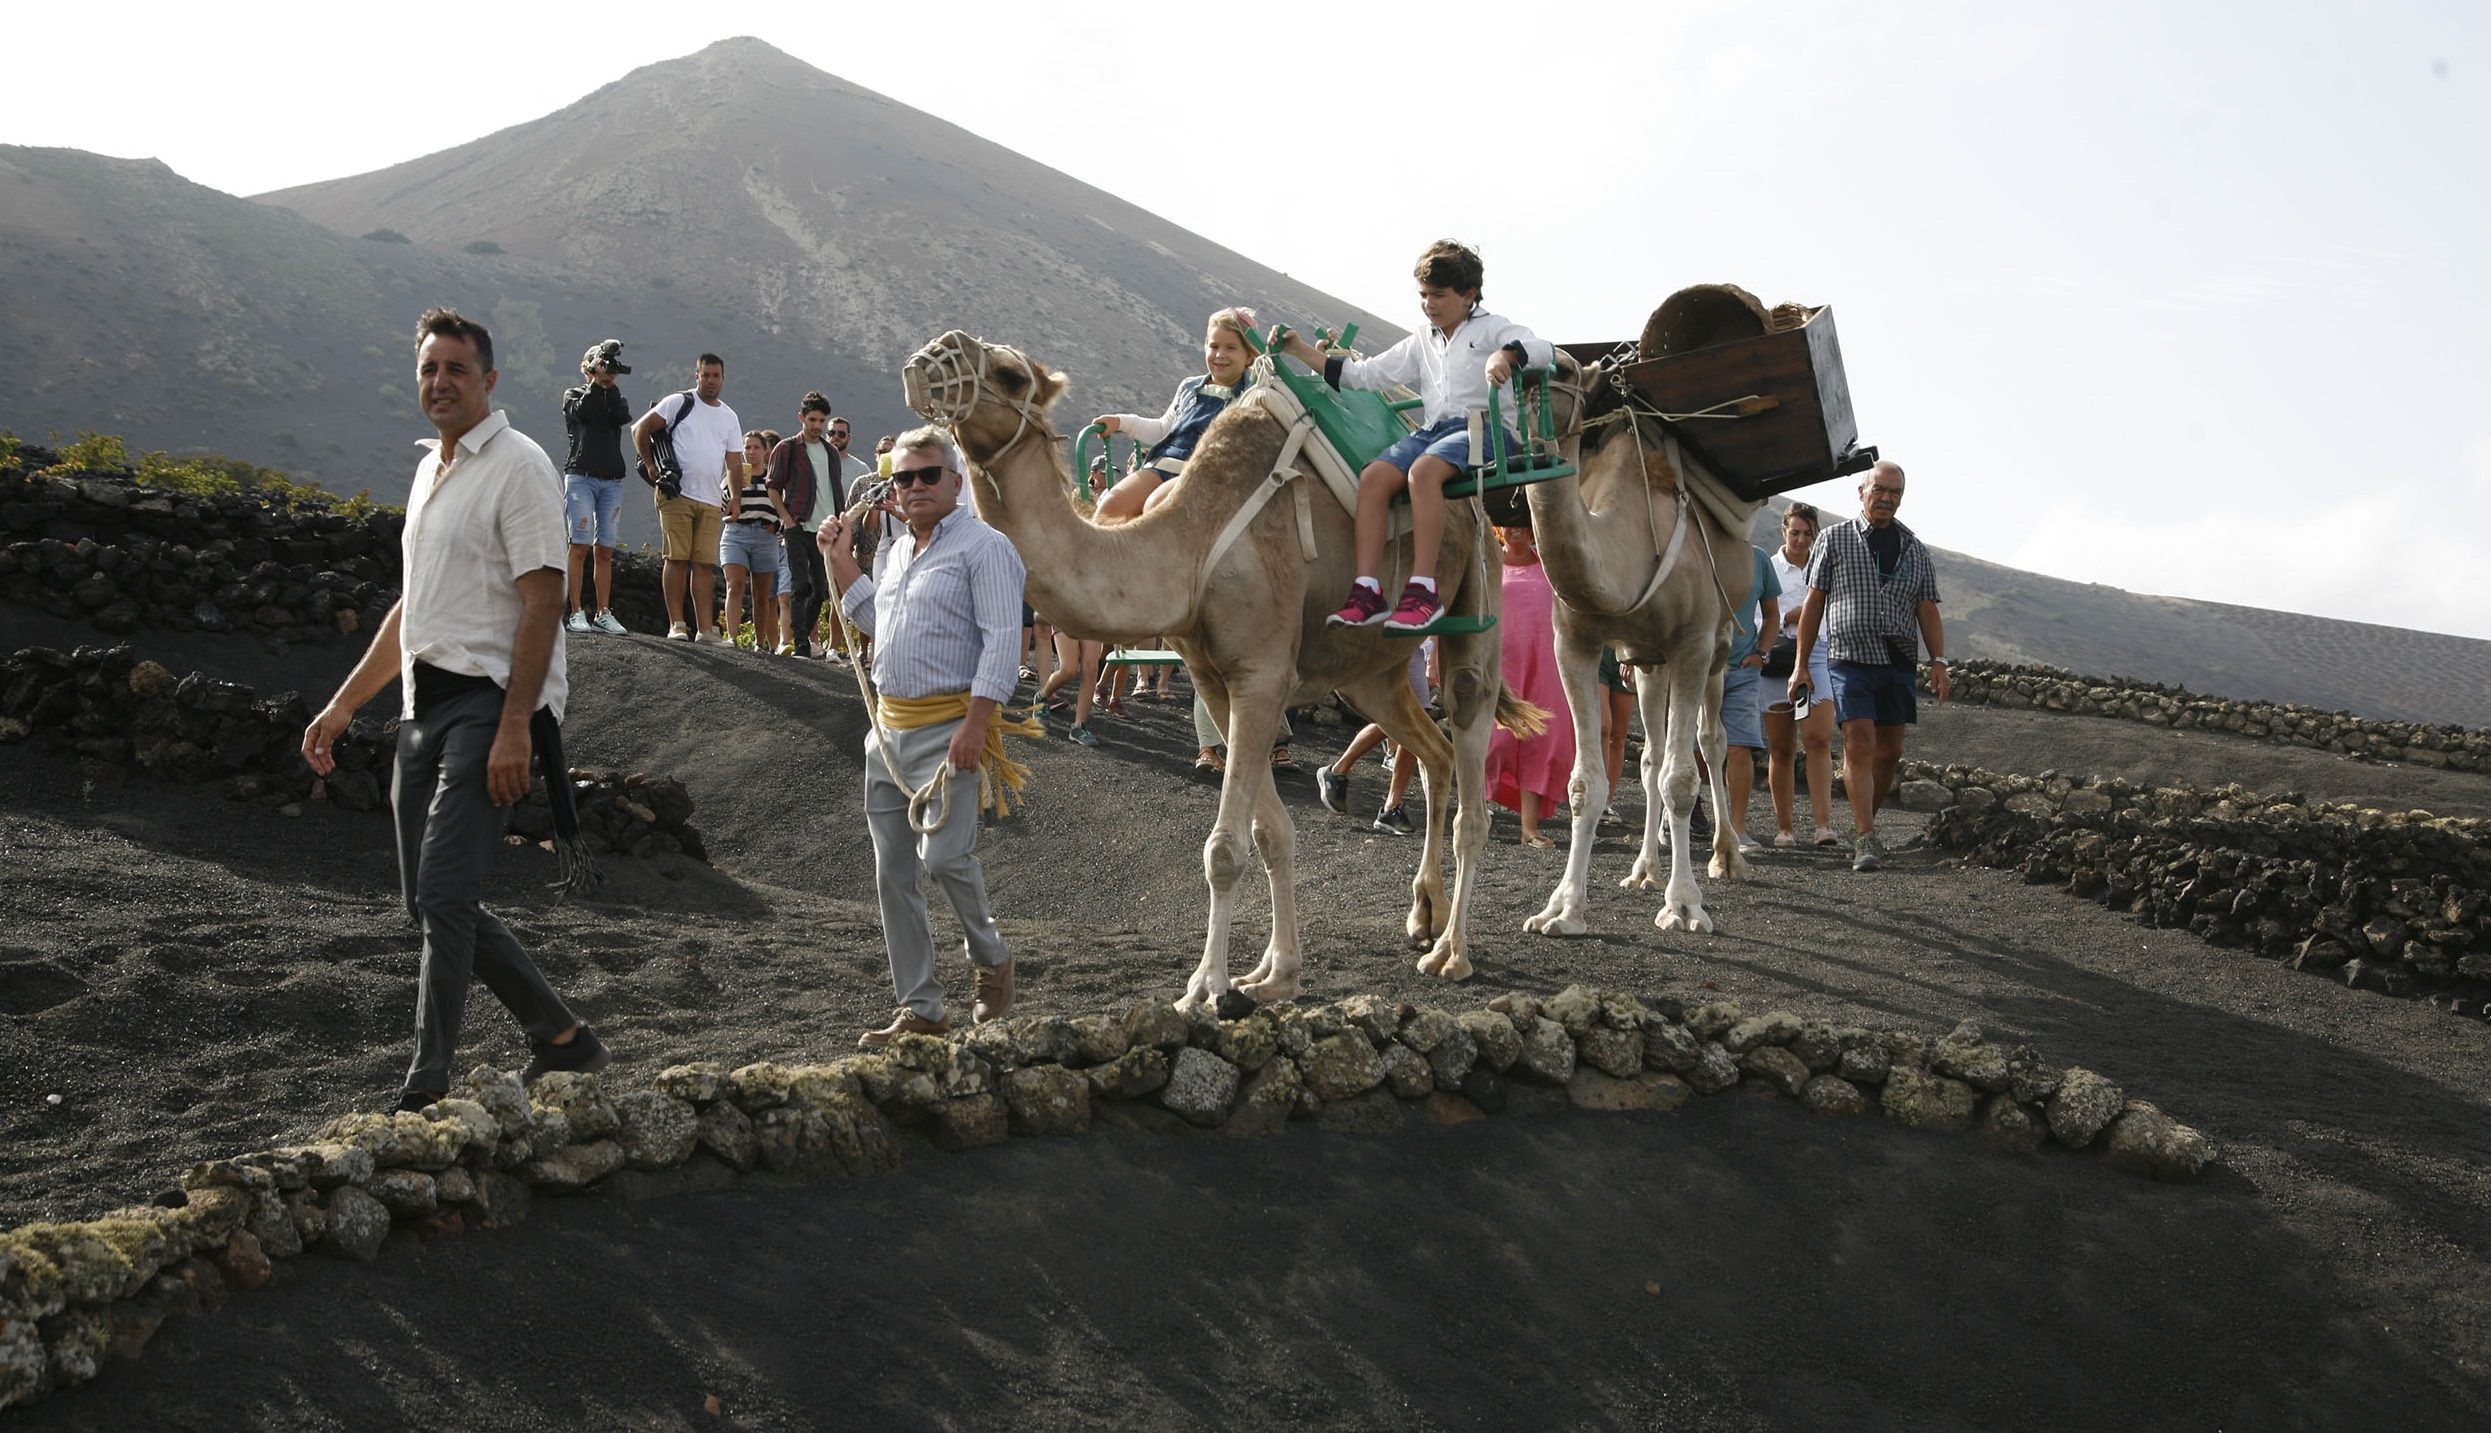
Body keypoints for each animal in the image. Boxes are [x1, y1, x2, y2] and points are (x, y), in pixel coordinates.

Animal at [906, 331, 1544, 1016]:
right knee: (1432, 753)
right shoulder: (1215, 678)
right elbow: (1271, 834)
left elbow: (1225, 848)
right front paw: (1275, 974)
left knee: (1470, 776)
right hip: (1373, 672)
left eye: (1009, 375)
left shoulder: (1261, 674)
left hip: (1476, 600)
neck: (1190, 547)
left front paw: (1206, 985)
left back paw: (1452, 953)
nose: (930, 357)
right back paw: (1425, 913)